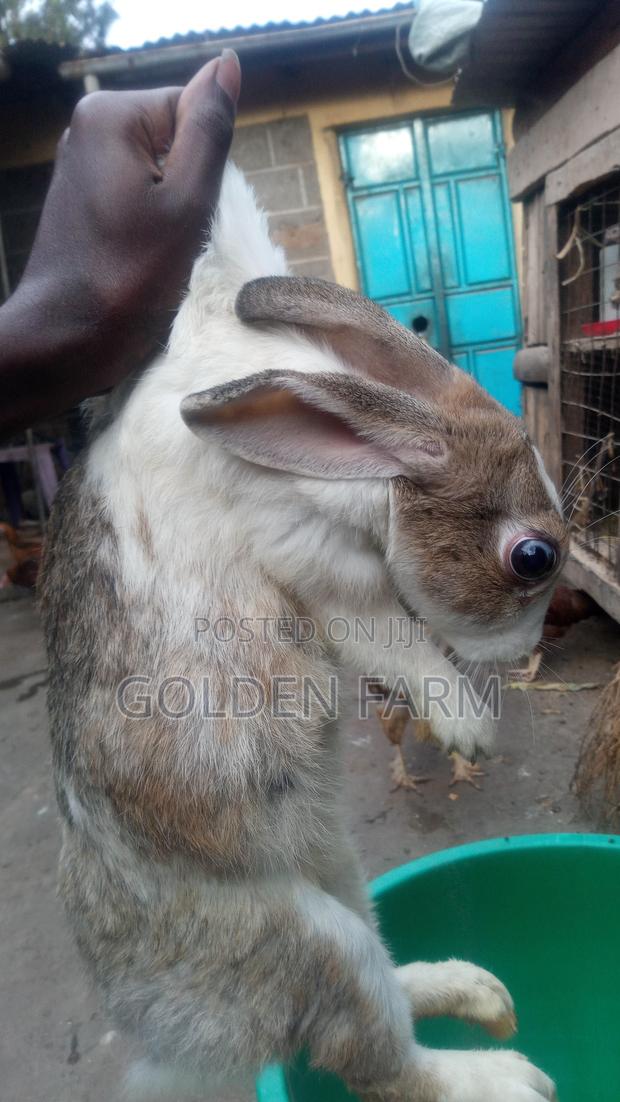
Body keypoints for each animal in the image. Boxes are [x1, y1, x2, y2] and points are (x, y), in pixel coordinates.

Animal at [39, 163, 564, 1102]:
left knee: (387, 989)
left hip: (341, 870)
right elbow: (399, 644)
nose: (522, 653)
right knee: (380, 1060)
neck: (368, 466)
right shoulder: (325, 575)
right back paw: (503, 1072)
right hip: (315, 945)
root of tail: (160, 1027)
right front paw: (471, 726)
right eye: (532, 556)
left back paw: (474, 988)